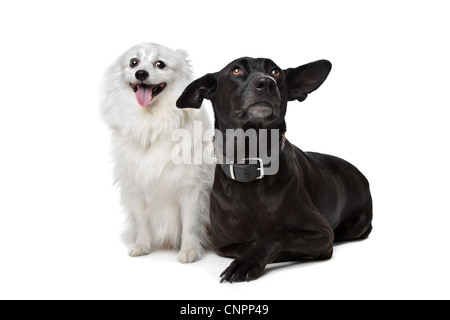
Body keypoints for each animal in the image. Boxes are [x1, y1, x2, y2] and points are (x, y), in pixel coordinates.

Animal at [102, 42, 214, 262]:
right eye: (133, 62)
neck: (152, 120)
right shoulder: (136, 189)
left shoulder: (192, 189)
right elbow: (142, 222)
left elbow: (190, 224)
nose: (141, 73)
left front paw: (189, 250)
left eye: (160, 64)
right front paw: (142, 245)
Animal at [176, 56, 372, 282]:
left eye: (276, 72)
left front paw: (249, 261)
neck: (250, 164)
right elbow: (248, 243)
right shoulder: (223, 245)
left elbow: (277, 235)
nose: (266, 83)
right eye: (236, 70)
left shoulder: (322, 232)